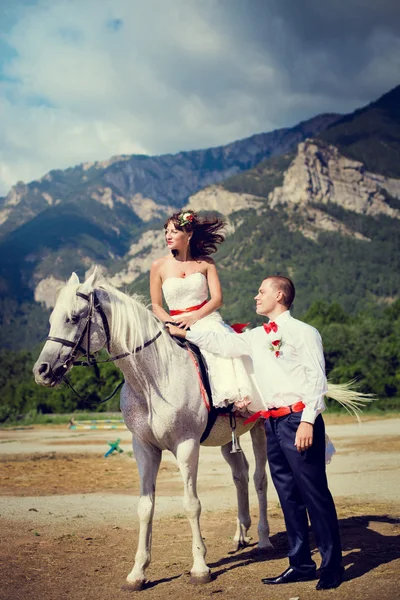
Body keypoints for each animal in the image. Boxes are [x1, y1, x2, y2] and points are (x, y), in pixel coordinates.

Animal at [33, 270, 272, 588]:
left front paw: (200, 567)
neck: (154, 377)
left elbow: (191, 504)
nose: (42, 370)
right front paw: (138, 572)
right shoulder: (144, 448)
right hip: (226, 440)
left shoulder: (186, 446)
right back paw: (240, 535)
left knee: (259, 478)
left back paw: (264, 539)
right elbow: (145, 507)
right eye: (51, 319)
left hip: (260, 428)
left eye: (73, 317)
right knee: (240, 474)